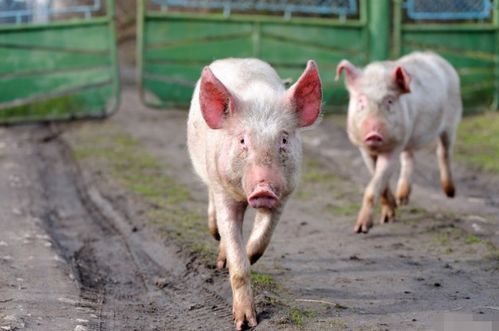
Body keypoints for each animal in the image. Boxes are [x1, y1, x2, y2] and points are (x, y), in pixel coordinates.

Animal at [186, 57, 322, 330]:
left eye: (283, 140)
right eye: (242, 141)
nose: (263, 188)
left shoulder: (284, 194)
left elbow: (260, 241)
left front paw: (243, 257)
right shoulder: (224, 192)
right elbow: (238, 261)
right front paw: (245, 323)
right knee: (212, 206)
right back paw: (216, 241)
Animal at [338, 52, 462, 233]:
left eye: (389, 101)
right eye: (361, 101)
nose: (374, 134)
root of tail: (436, 57)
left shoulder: (394, 147)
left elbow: (374, 185)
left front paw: (361, 229)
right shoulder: (364, 149)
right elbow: (379, 181)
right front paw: (388, 217)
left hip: (452, 120)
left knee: (443, 152)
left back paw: (450, 193)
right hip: (408, 136)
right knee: (409, 158)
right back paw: (402, 199)